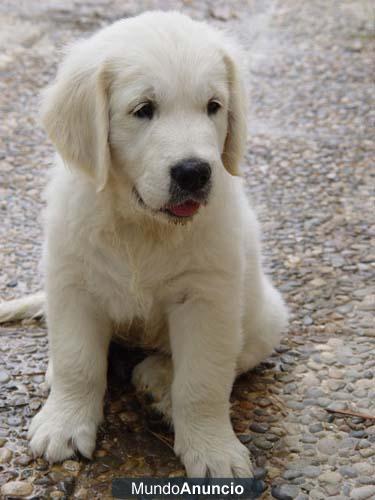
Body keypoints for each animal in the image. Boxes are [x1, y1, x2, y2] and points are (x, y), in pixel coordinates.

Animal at [0, 10, 288, 476]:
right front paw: (65, 423)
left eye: (213, 106)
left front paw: (213, 450)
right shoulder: (72, 283)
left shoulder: (208, 297)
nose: (194, 172)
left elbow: (204, 381)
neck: (141, 226)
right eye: (143, 110)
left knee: (229, 359)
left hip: (266, 316)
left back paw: (158, 378)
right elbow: (78, 362)